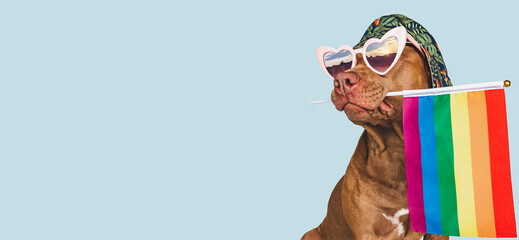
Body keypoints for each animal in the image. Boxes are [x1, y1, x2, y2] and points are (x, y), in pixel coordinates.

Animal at [302, 43, 448, 240]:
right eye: (348, 63)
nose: (341, 79)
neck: (396, 149)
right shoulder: (367, 231)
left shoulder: (437, 229)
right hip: (311, 234)